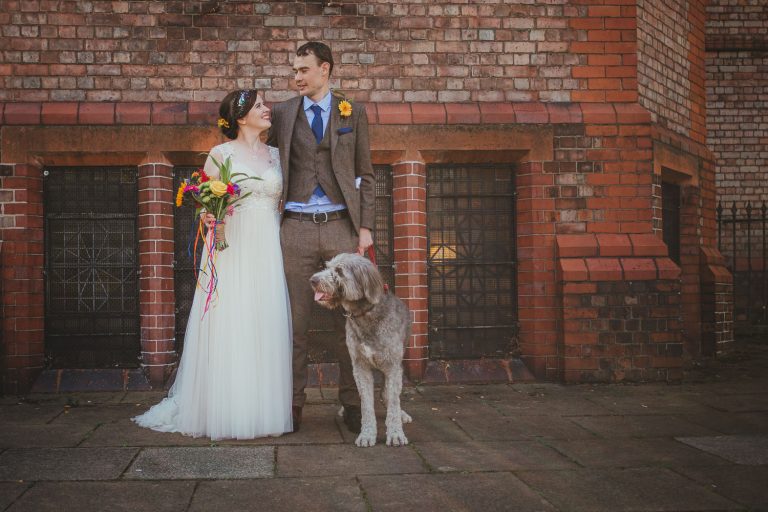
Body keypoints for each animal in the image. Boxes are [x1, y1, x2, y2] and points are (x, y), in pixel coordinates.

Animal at [308, 254, 412, 446]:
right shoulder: (359, 366)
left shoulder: (393, 366)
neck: (365, 314)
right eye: (327, 266)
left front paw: (395, 433)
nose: (313, 280)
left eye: (339, 270)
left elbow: (393, 402)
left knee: (389, 395)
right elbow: (366, 404)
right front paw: (367, 434)